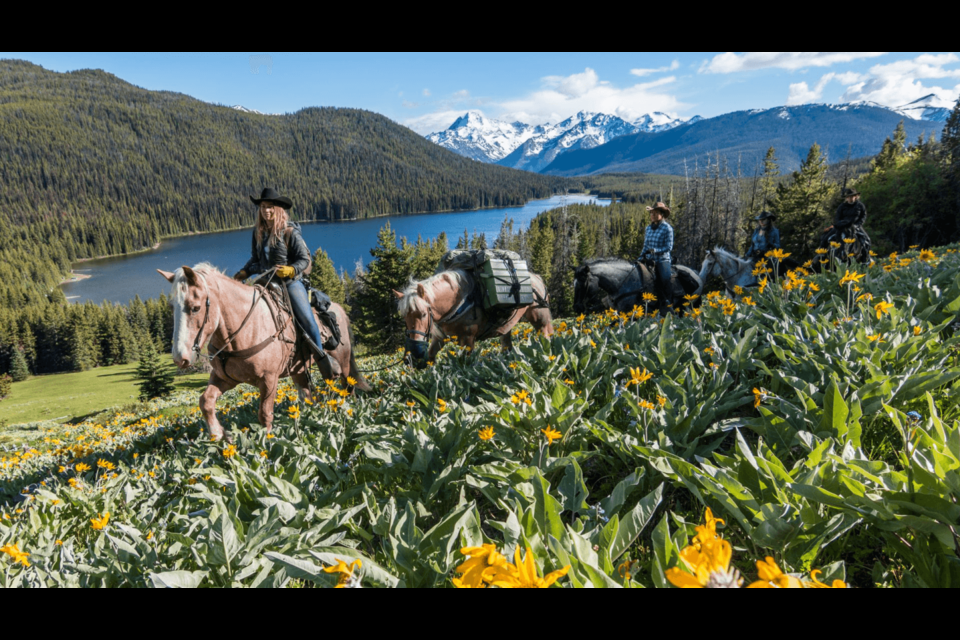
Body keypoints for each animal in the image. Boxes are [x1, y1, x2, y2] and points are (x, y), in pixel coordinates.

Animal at [159, 264, 370, 440]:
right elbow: (206, 401)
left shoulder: (269, 379)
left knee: (347, 386)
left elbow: (265, 414)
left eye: (195, 308)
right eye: (172, 307)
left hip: (343, 363)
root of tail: (339, 309)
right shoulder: (224, 378)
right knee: (308, 397)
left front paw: (266, 443)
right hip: (299, 370)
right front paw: (220, 435)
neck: (244, 329)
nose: (180, 358)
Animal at [392, 268, 556, 368]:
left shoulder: (468, 339)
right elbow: (431, 356)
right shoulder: (440, 338)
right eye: (405, 317)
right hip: (507, 325)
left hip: (539, 318)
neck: (457, 303)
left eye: (423, 314)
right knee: (506, 345)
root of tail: (536, 278)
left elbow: (466, 362)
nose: (414, 351)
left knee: (546, 335)